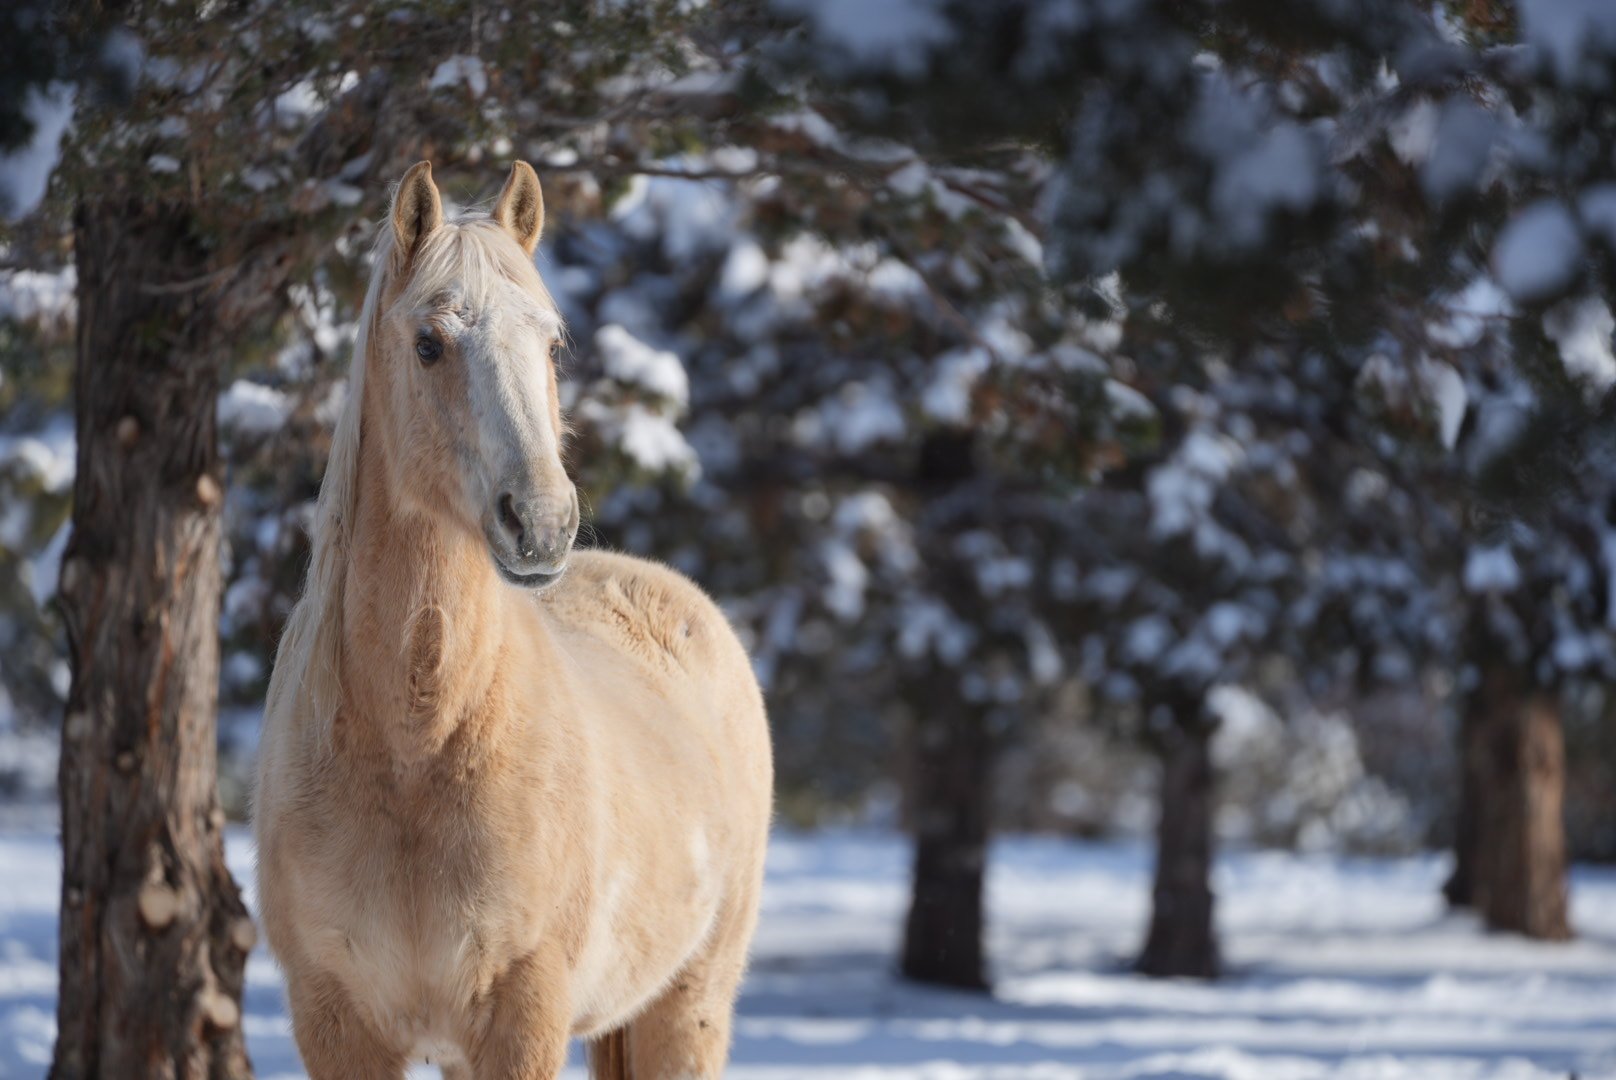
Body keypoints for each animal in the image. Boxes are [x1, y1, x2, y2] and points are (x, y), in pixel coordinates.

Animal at [255, 162, 772, 1080]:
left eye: (553, 344)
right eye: (429, 343)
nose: (542, 521)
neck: (415, 749)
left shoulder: (524, 1016)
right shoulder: (336, 1022)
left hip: (689, 1005)